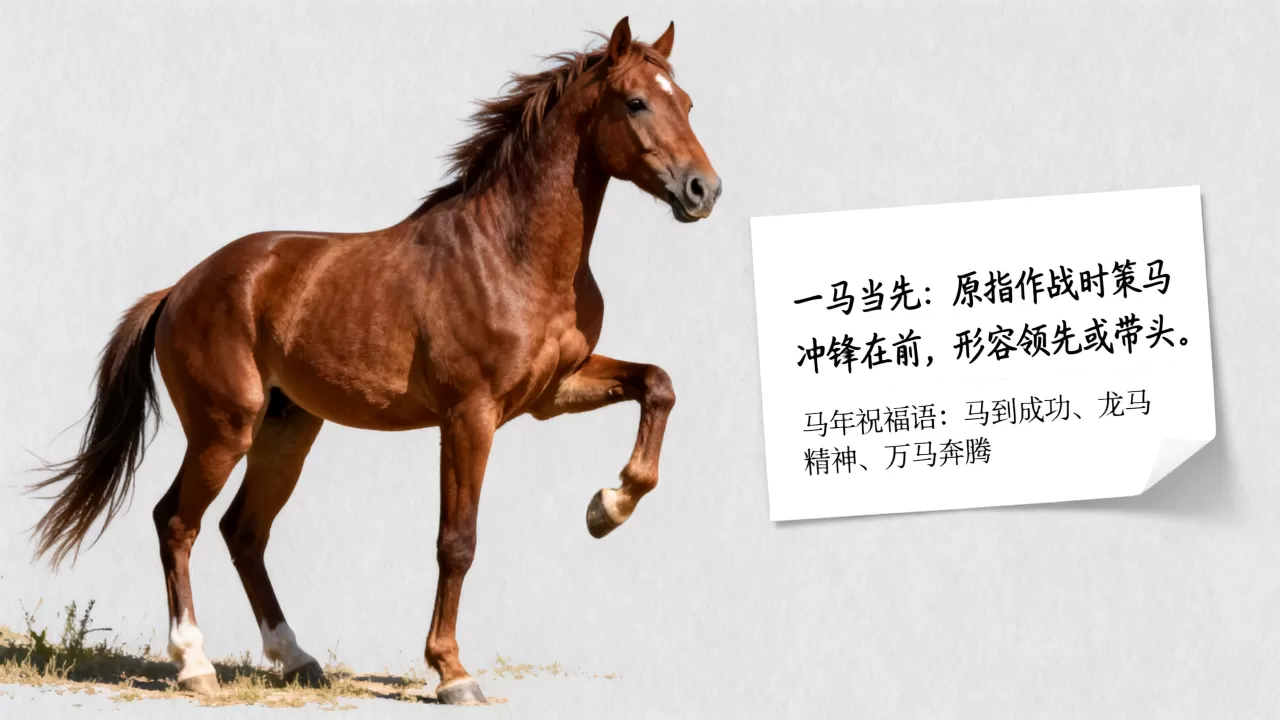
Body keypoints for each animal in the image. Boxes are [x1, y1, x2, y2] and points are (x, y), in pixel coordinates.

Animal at [27, 17, 719, 705]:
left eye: (687, 103)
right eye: (636, 102)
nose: (703, 190)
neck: (511, 254)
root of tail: (178, 289)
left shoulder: (553, 392)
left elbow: (658, 385)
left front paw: (608, 508)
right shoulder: (470, 416)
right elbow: (457, 542)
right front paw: (452, 673)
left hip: (287, 431)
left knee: (243, 532)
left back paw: (296, 657)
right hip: (224, 431)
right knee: (176, 521)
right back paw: (195, 665)